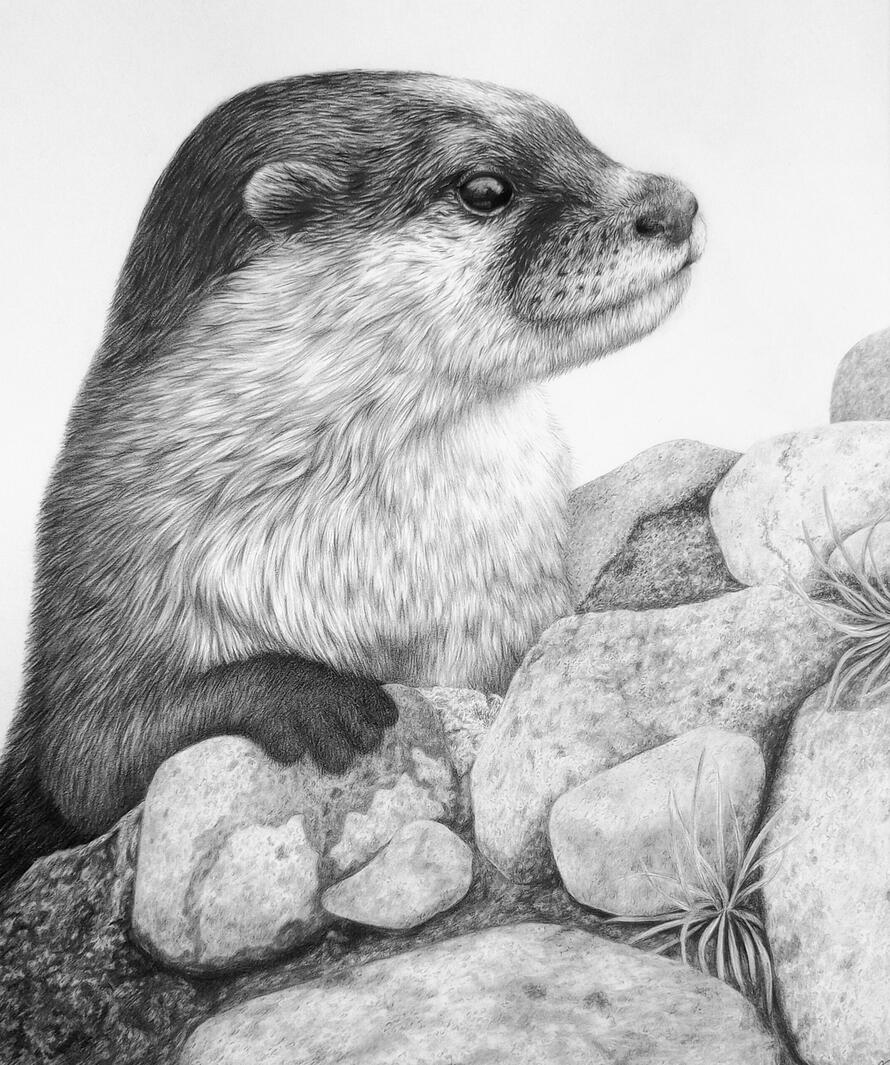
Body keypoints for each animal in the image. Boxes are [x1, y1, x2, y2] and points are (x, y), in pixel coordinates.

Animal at [0, 71, 703, 890]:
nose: (675, 203)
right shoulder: (109, 597)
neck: (382, 575)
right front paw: (313, 700)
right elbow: (89, 761)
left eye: (576, 135)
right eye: (485, 188)